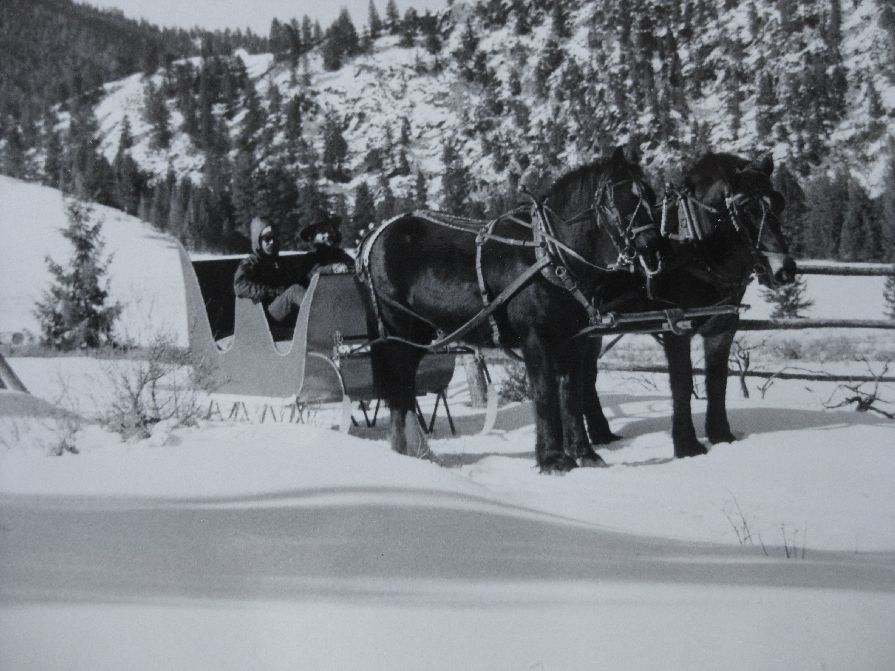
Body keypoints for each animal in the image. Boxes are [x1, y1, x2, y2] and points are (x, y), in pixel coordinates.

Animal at [360, 147, 668, 472]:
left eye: (649, 194)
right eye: (616, 198)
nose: (652, 246)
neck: (550, 255)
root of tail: (375, 237)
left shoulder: (573, 341)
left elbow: (570, 393)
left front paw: (584, 453)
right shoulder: (535, 339)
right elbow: (544, 394)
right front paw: (552, 459)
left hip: (418, 336)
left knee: (402, 388)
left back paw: (413, 452)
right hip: (399, 333)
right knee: (401, 387)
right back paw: (413, 453)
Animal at [580, 152, 800, 456]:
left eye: (779, 202)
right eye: (744, 207)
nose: (785, 270)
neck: (695, 248)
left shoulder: (723, 325)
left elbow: (717, 379)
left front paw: (721, 435)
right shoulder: (676, 325)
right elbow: (682, 383)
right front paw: (687, 445)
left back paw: (602, 434)